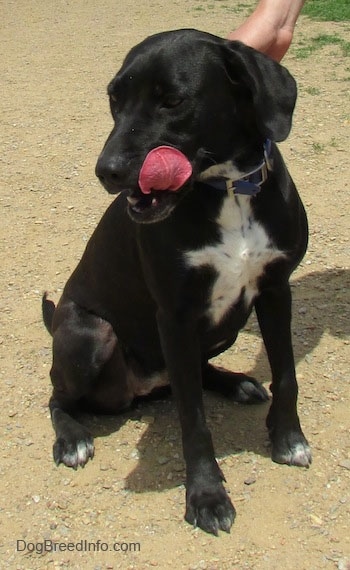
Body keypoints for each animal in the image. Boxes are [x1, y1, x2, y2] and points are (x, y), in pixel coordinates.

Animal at [43, 27, 312, 532]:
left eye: (172, 100)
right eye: (114, 99)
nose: (106, 171)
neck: (228, 191)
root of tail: (140, 389)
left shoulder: (274, 290)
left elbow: (286, 374)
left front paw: (288, 438)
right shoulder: (175, 317)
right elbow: (194, 419)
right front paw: (207, 496)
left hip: (227, 326)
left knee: (196, 372)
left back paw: (235, 383)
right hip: (90, 334)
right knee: (58, 397)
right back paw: (72, 439)